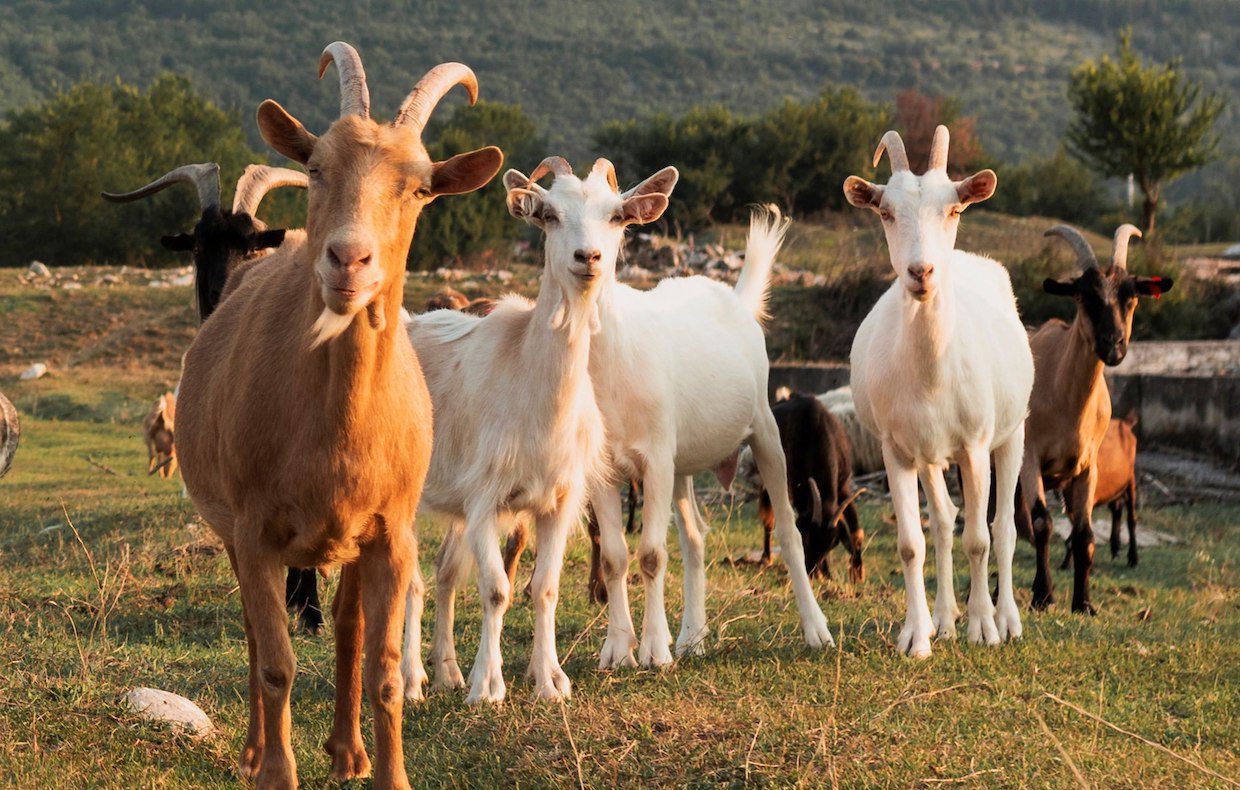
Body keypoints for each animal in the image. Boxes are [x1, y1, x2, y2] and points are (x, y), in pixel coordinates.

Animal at [176, 43, 503, 788]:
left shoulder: (392, 534)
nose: (349, 260)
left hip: (355, 538)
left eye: (419, 188)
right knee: (252, 629)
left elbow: (383, 670)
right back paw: (253, 749)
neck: (329, 426)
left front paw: (387, 773)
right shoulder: (255, 530)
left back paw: (347, 750)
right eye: (317, 167)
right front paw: (275, 771)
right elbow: (275, 662)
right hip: (233, 526)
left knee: (350, 626)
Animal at [401, 153, 674, 704]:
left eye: (617, 216)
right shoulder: (485, 496)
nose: (588, 256)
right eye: (548, 214)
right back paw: (410, 679)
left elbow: (543, 587)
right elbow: (496, 589)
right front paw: (488, 686)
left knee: (443, 573)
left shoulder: (559, 499)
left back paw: (446, 672)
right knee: (410, 580)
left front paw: (550, 680)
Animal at [843, 129, 1036, 654]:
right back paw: (944, 620)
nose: (921, 271)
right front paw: (918, 637)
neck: (932, 375)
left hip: (1013, 432)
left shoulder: (974, 444)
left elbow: (980, 539)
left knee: (1003, 528)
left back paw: (1006, 619)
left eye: (953, 209)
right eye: (886, 212)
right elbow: (913, 543)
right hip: (930, 454)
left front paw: (983, 628)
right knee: (946, 521)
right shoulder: (895, 448)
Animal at [1021, 224, 1165, 612]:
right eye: (1084, 297)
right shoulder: (1029, 457)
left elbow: (1083, 533)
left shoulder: (1088, 466)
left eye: (1131, 297)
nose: (1113, 344)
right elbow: (1042, 524)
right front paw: (1043, 595)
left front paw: (1083, 602)